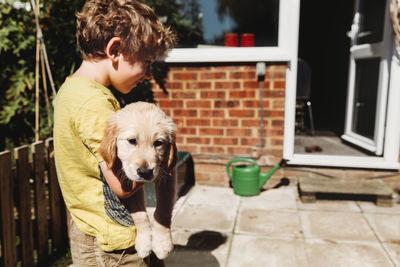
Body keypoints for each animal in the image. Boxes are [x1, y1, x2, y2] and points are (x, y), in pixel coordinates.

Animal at [97, 102, 177, 260]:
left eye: (158, 143)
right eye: (132, 141)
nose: (145, 172)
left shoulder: (167, 175)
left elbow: (163, 210)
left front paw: (162, 244)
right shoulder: (128, 182)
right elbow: (139, 215)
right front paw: (144, 243)